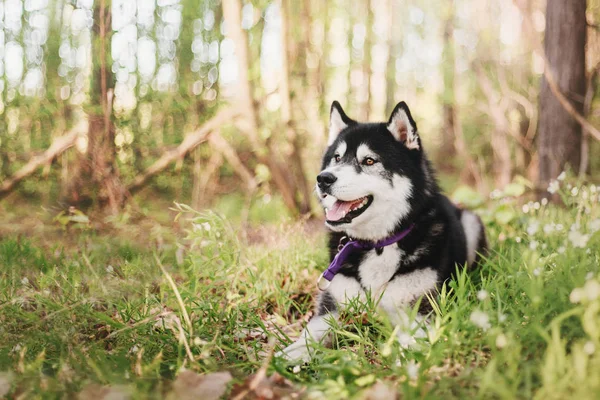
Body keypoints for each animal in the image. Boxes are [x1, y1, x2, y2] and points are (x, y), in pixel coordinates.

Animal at [280, 101, 488, 362]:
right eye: (336, 158)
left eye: (369, 161)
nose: (323, 179)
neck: (377, 244)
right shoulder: (332, 307)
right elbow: (308, 336)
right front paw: (285, 356)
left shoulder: (421, 313)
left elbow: (411, 345)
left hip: (471, 222)